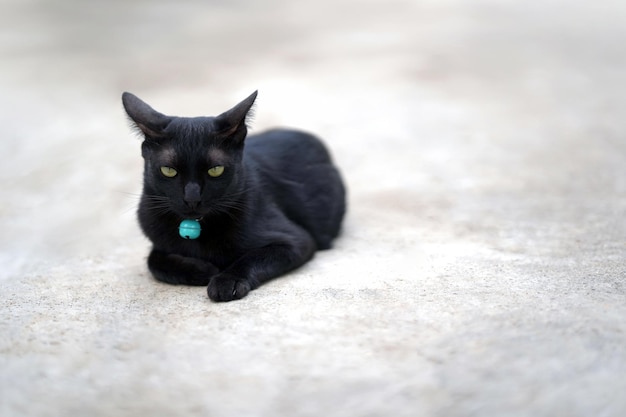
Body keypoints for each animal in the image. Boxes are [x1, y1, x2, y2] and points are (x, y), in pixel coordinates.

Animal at [120, 90, 346, 300]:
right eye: (168, 170)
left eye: (215, 170)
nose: (192, 199)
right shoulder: (158, 241)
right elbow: (153, 261)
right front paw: (202, 270)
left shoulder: (296, 240)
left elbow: (252, 258)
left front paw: (227, 281)